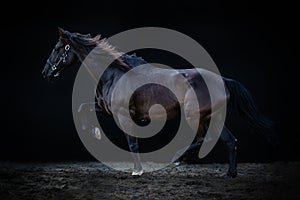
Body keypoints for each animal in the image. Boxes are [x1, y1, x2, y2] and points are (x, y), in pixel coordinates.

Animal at [42, 27, 274, 177]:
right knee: (228, 140)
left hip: (196, 116)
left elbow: (132, 142)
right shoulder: (104, 108)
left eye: (57, 48)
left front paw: (137, 170)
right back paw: (227, 173)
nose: (45, 73)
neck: (114, 75)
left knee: (212, 139)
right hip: (210, 117)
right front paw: (94, 131)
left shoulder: (123, 115)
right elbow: (82, 108)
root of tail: (224, 80)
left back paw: (182, 158)